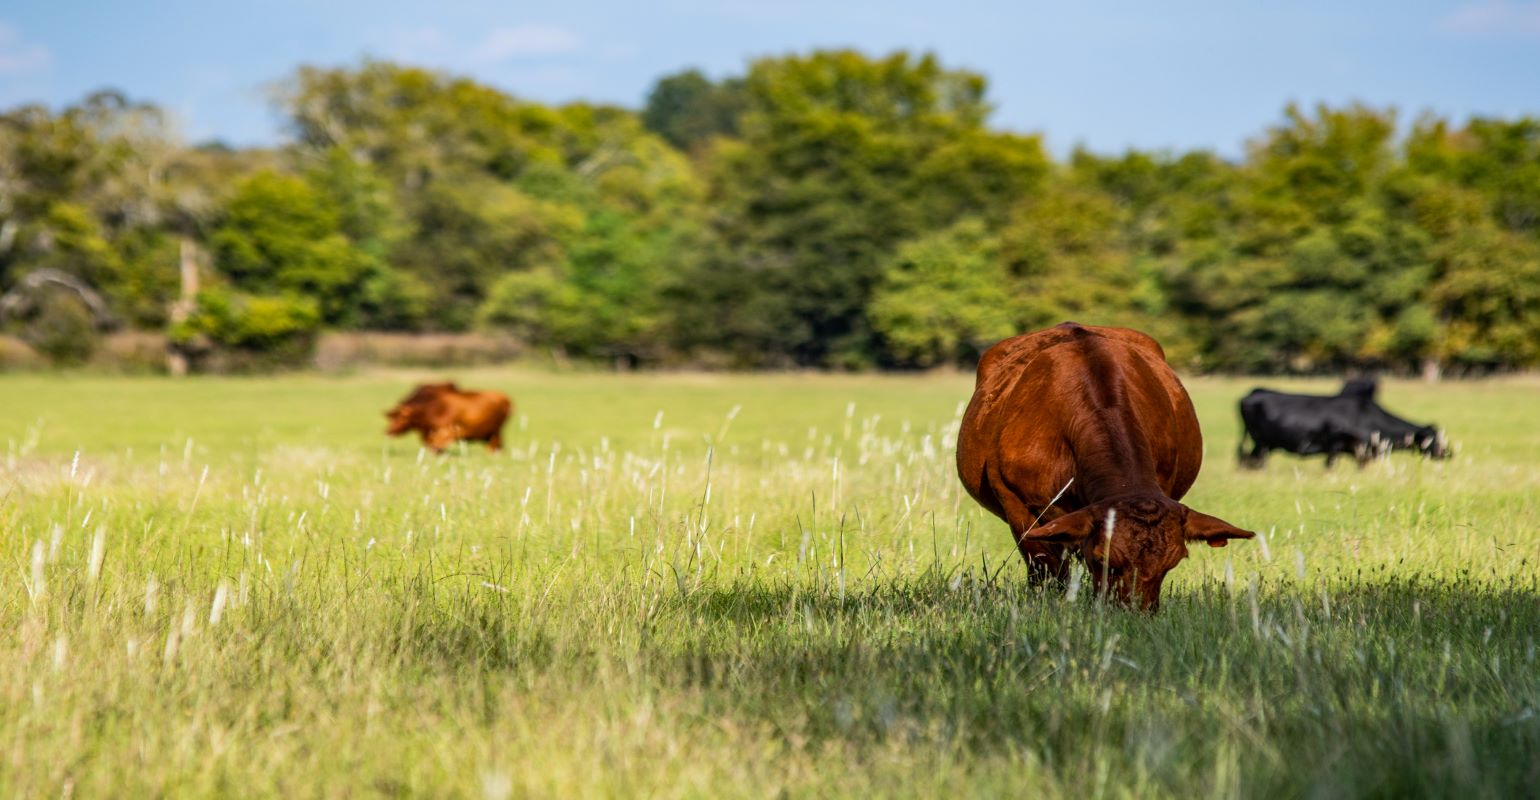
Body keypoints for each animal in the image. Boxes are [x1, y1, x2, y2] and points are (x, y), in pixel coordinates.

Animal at [383, 383, 511, 453]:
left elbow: (437, 449)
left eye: (402, 418)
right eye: (392, 417)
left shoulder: (446, 432)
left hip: (495, 434)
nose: (388, 431)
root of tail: (505, 398)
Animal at [1232, 380, 1447, 468]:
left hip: (1262, 445)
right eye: (1434, 439)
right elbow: (1330, 466)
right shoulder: (1334, 445)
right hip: (1261, 443)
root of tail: (1254, 391)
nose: (1448, 452)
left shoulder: (1361, 453)